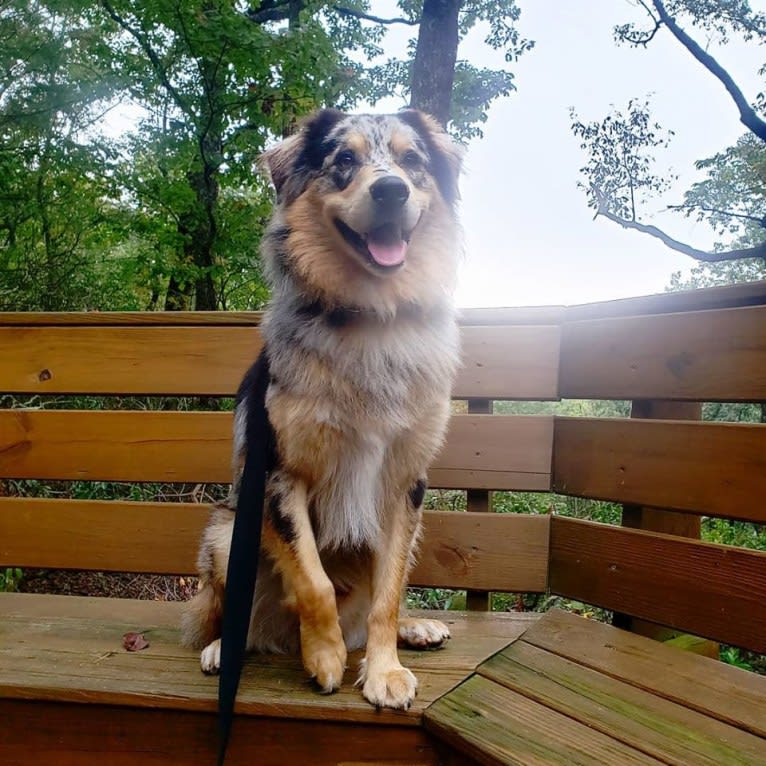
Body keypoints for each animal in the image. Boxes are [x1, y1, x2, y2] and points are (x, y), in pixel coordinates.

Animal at [183, 105, 464, 712]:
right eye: (344, 160)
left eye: (412, 159)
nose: (391, 189)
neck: (373, 319)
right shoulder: (279, 472)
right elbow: (312, 580)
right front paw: (325, 657)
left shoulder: (405, 483)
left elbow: (388, 593)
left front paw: (384, 669)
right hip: (225, 534)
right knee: (226, 613)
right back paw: (222, 649)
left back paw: (415, 628)